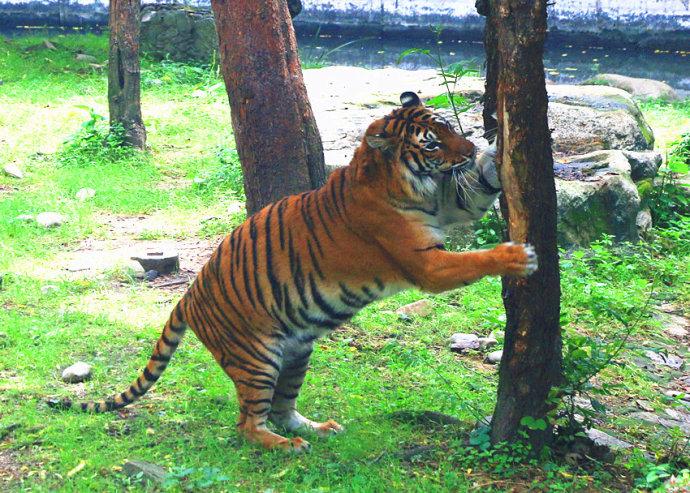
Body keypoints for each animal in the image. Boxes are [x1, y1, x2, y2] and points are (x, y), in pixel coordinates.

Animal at [50, 91, 537, 453]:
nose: (469, 149)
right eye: (432, 143)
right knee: (247, 423)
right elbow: (472, 260)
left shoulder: (451, 204)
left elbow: (478, 189)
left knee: (283, 409)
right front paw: (519, 256)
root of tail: (187, 296)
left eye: (450, 127)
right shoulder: (425, 261)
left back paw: (317, 430)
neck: (415, 184)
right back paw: (284, 446)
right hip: (257, 358)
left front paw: (499, 150)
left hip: (296, 353)